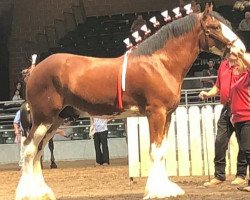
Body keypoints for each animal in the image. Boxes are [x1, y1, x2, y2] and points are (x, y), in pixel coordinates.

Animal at [16, 4, 246, 200]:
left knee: (37, 151)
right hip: (44, 119)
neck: (160, 63)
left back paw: (42, 192)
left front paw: (166, 188)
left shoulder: (167, 115)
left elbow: (162, 150)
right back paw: (28, 193)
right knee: (29, 149)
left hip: (56, 121)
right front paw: (157, 191)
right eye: (215, 27)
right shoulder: (156, 114)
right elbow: (155, 151)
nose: (242, 51)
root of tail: (34, 70)